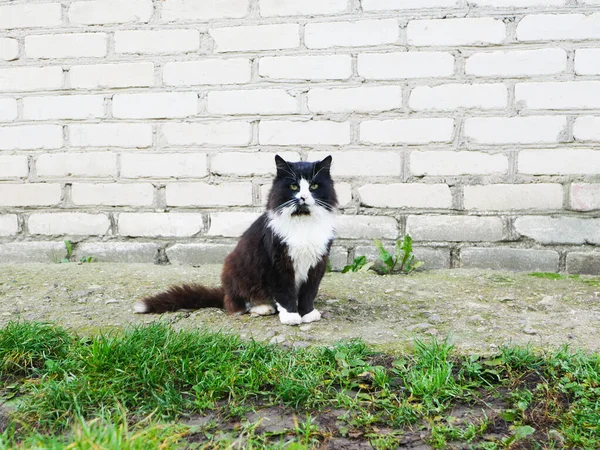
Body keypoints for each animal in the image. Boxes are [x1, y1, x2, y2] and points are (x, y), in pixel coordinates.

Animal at [132, 156, 338, 326]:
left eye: (314, 187)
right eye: (294, 186)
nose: (303, 197)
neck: (303, 220)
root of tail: (225, 293)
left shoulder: (318, 262)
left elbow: (309, 292)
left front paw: (307, 314)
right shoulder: (277, 262)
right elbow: (284, 292)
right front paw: (291, 316)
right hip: (237, 269)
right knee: (238, 305)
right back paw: (262, 307)